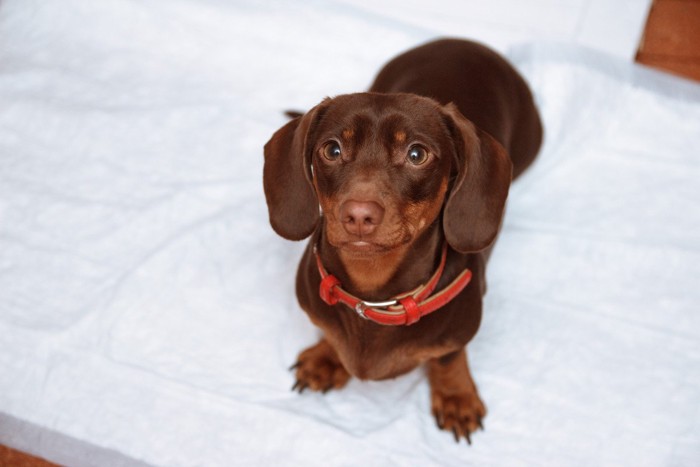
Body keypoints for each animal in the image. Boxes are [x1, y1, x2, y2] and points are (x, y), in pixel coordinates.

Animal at [262, 38, 540, 444]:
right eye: (332, 149)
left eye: (416, 154)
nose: (358, 215)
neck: (375, 296)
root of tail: (466, 43)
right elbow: (329, 332)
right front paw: (327, 357)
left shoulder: (460, 332)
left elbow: (449, 356)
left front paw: (456, 395)